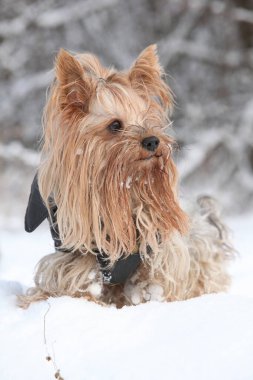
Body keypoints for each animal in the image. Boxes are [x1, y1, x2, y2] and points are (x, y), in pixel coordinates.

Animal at [18, 44, 234, 308]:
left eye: (148, 120)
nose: (153, 141)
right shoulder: (75, 256)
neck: (120, 189)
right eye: (115, 125)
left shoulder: (159, 255)